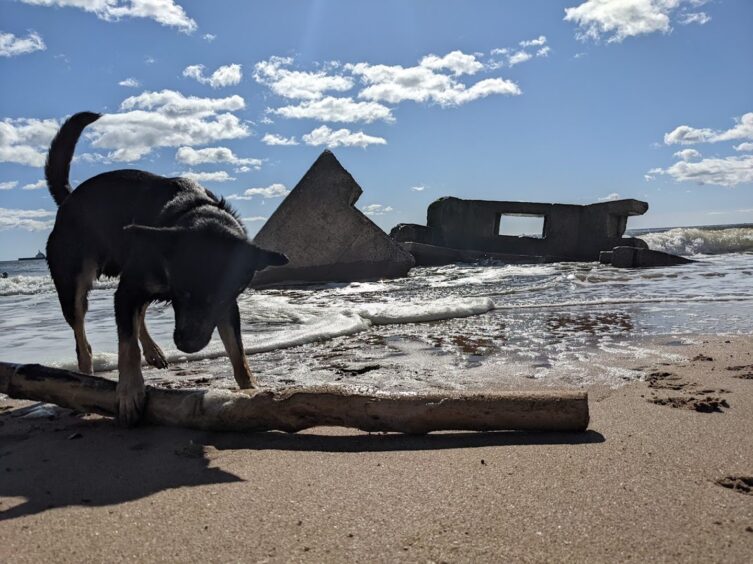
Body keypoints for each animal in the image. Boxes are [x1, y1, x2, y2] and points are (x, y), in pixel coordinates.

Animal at [44, 112, 288, 426]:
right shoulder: (129, 291)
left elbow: (238, 351)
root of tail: (68, 199)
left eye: (222, 297)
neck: (194, 210)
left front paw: (250, 389)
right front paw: (129, 392)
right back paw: (85, 381)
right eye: (182, 292)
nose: (186, 345)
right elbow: (127, 347)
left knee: (138, 316)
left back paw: (153, 351)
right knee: (82, 339)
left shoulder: (227, 305)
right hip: (73, 283)